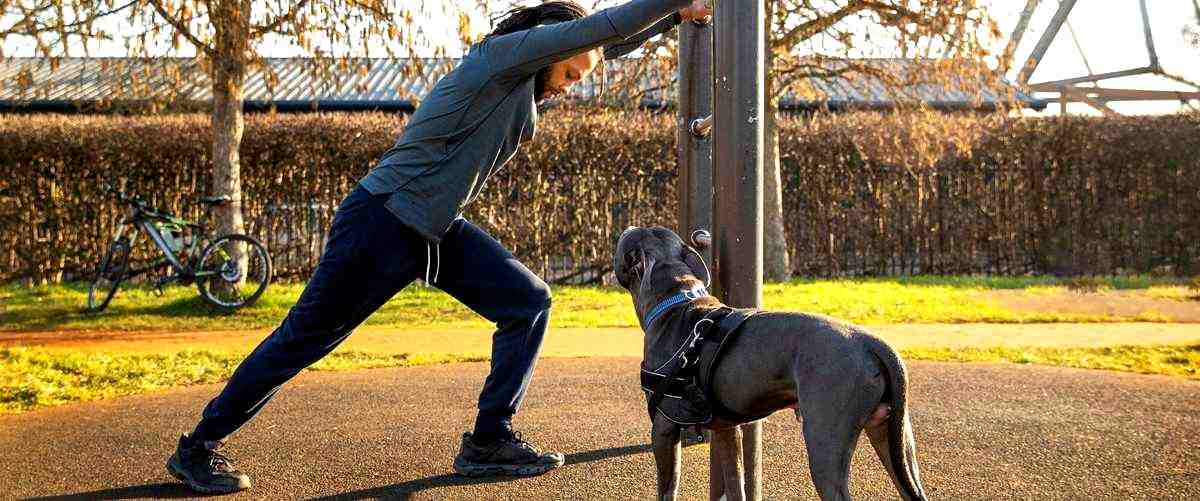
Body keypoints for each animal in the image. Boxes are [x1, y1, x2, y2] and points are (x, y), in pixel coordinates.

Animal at [614, 226, 931, 501]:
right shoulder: (727, 431)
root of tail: (870, 342)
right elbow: (735, 484)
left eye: (625, 240)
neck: (675, 301)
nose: (626, 226)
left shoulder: (664, 429)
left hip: (825, 444)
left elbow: (667, 489)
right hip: (894, 440)